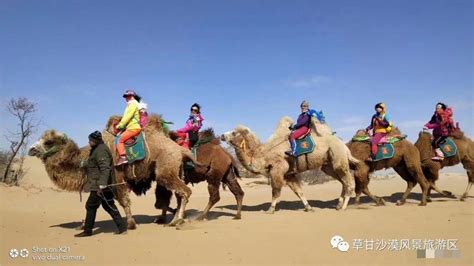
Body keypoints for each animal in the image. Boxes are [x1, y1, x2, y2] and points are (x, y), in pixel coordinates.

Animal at [220, 116, 358, 212]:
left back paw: (344, 207)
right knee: (343, 182)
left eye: (234, 132)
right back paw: (339, 205)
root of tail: (344, 146)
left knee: (349, 183)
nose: (221, 135)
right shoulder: (289, 174)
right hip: (328, 166)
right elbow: (299, 192)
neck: (263, 154)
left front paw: (270, 209)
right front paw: (309, 207)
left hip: (338, 158)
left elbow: (275, 191)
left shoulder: (278, 169)